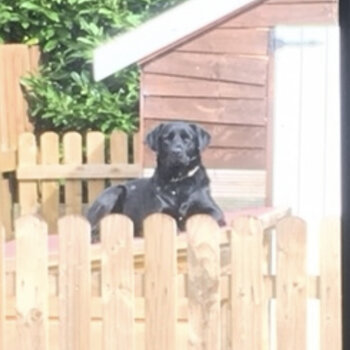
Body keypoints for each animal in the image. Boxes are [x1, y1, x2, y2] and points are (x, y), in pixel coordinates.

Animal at [86, 121, 226, 241]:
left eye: (187, 138)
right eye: (166, 139)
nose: (176, 152)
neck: (178, 181)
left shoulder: (214, 210)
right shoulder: (158, 212)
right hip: (113, 193)